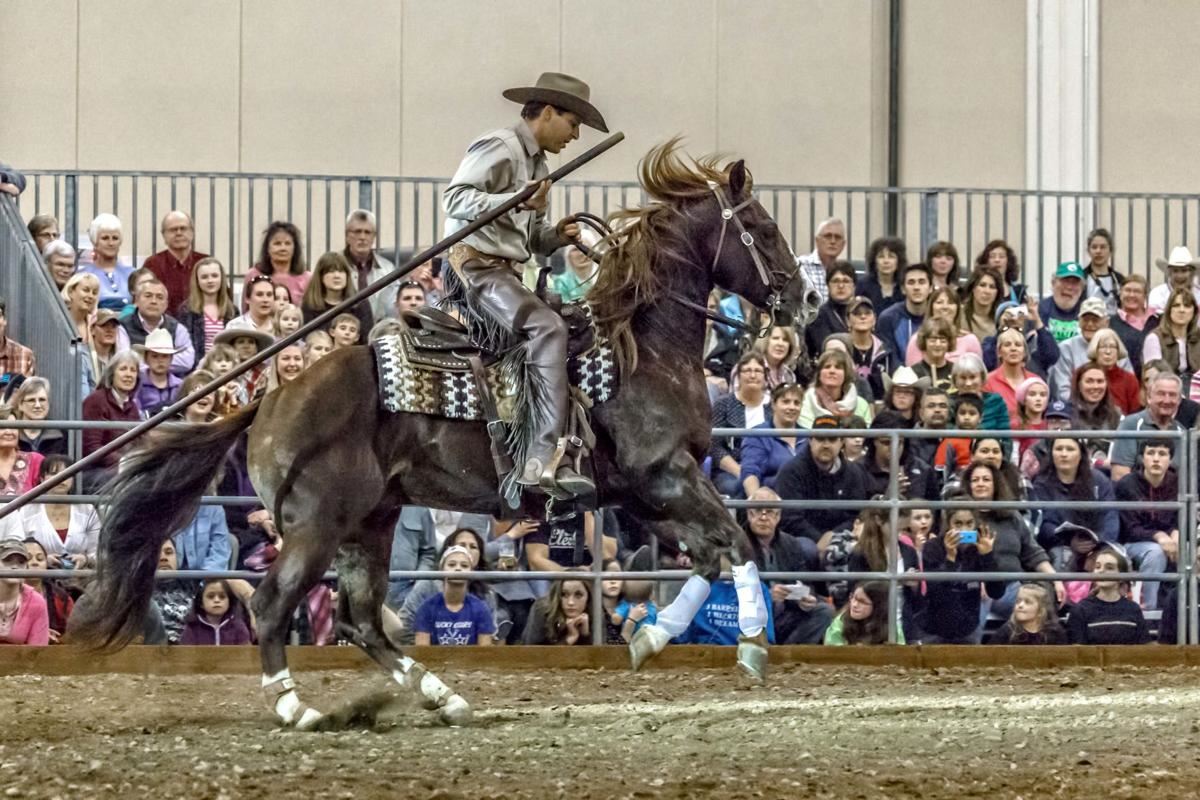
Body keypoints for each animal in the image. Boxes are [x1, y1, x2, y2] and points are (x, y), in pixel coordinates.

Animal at [68, 140, 816, 729]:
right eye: (759, 224)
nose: (806, 301)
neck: (641, 348)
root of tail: (270, 398)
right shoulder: (666, 474)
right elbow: (735, 539)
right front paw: (752, 646)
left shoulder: (641, 493)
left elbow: (711, 554)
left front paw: (652, 639)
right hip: (317, 523)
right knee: (279, 604)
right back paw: (297, 707)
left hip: (369, 520)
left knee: (361, 618)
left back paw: (442, 696)